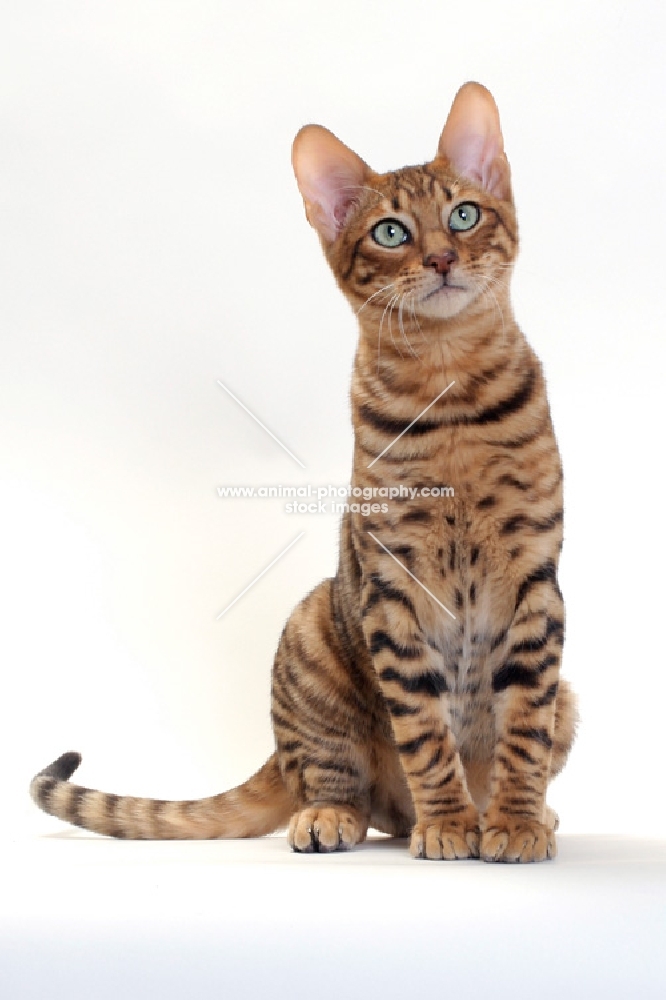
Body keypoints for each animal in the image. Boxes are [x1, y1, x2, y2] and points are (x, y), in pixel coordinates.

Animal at [31, 84, 572, 860]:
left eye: (464, 215)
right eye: (390, 232)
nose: (442, 257)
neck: (450, 390)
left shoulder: (535, 576)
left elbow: (525, 724)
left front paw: (517, 822)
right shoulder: (392, 582)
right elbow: (424, 730)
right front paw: (448, 823)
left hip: (571, 695)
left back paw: (517, 813)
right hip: (313, 624)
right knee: (350, 788)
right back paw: (339, 816)